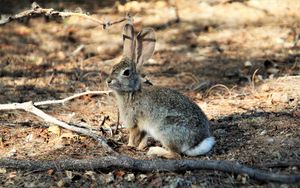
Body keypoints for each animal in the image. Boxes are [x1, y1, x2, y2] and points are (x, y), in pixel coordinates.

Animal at [106, 23, 214, 159]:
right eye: (113, 67)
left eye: (126, 72)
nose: (108, 81)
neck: (132, 92)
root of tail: (195, 144)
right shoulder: (143, 127)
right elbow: (142, 138)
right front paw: (140, 147)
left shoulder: (134, 122)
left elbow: (133, 136)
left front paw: (129, 146)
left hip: (165, 129)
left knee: (175, 154)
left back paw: (155, 151)